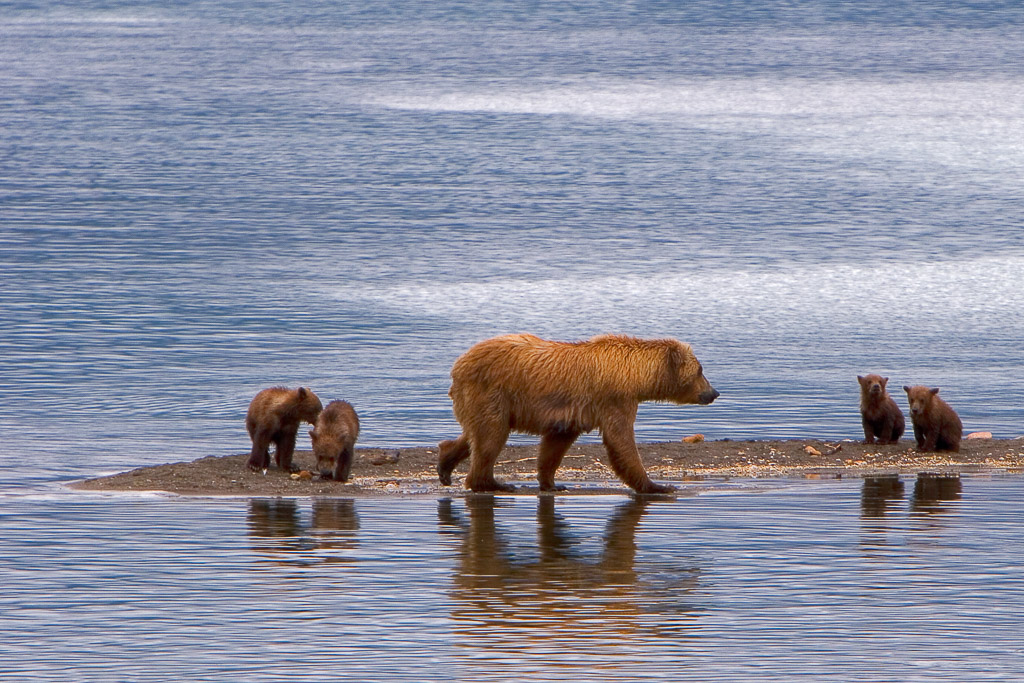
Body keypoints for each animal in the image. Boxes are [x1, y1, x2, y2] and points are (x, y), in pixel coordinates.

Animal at [436, 333, 716, 493]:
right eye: (700, 370)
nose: (714, 392)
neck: (636, 376)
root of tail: (458, 364)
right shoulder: (614, 399)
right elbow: (621, 440)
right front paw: (657, 485)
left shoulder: (574, 412)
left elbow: (555, 445)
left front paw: (552, 483)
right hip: (493, 392)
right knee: (491, 437)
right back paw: (493, 483)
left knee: (476, 433)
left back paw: (445, 464)